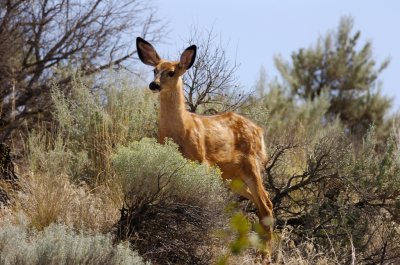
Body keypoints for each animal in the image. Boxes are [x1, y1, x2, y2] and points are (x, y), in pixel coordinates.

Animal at [136, 37, 274, 262]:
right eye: (154, 70)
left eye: (171, 72)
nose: (153, 84)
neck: (180, 131)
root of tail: (259, 131)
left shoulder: (202, 161)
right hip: (232, 177)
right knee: (262, 202)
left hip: (251, 165)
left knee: (266, 205)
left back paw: (265, 257)